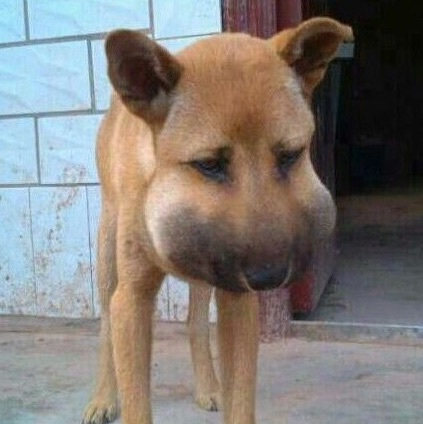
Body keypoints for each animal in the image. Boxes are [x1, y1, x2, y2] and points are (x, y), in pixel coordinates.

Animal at [82, 17, 352, 424]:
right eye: (209, 164)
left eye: (290, 155)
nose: (270, 277)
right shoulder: (132, 298)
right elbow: (135, 399)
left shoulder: (236, 298)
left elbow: (240, 398)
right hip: (108, 254)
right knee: (105, 330)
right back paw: (102, 397)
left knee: (195, 323)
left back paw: (209, 386)